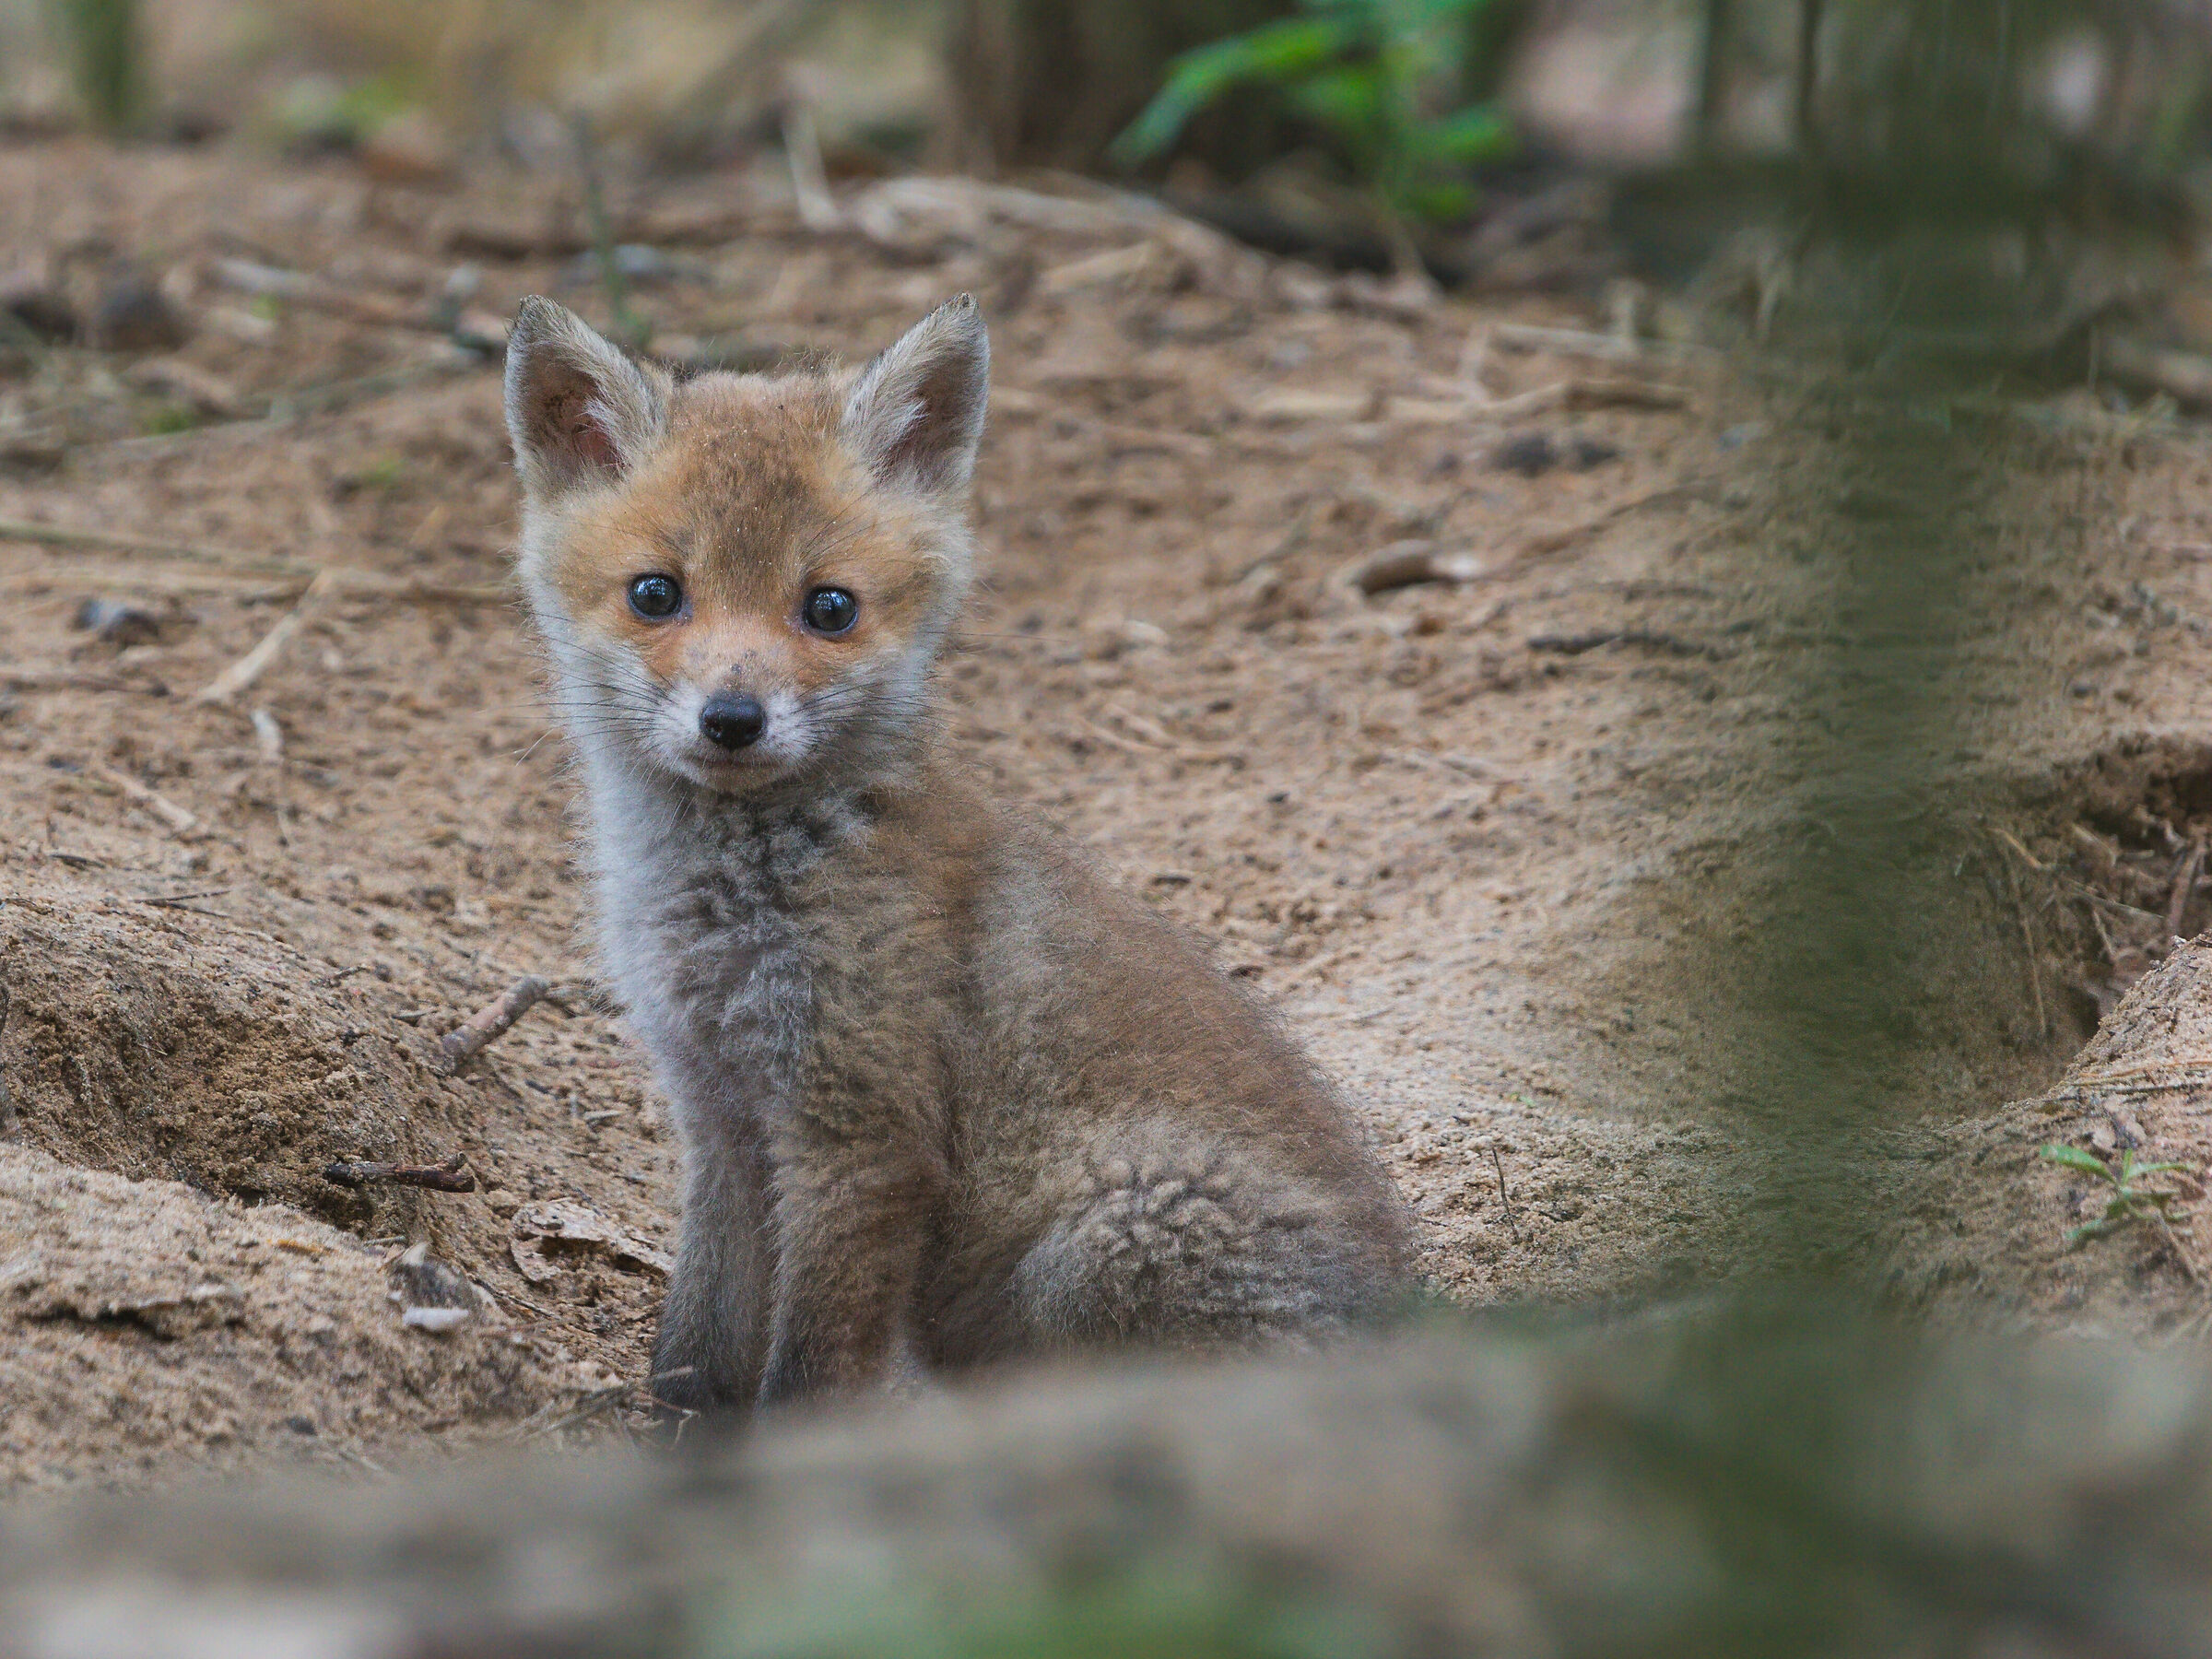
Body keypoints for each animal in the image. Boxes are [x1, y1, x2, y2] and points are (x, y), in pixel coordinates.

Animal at [503, 292, 1412, 1413]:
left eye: (830, 608)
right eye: (656, 594)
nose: (732, 720)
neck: (724, 912)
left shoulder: (862, 1135)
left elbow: (806, 1370)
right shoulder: (719, 1114)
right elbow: (695, 1341)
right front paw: (670, 1437)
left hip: (1096, 1258)